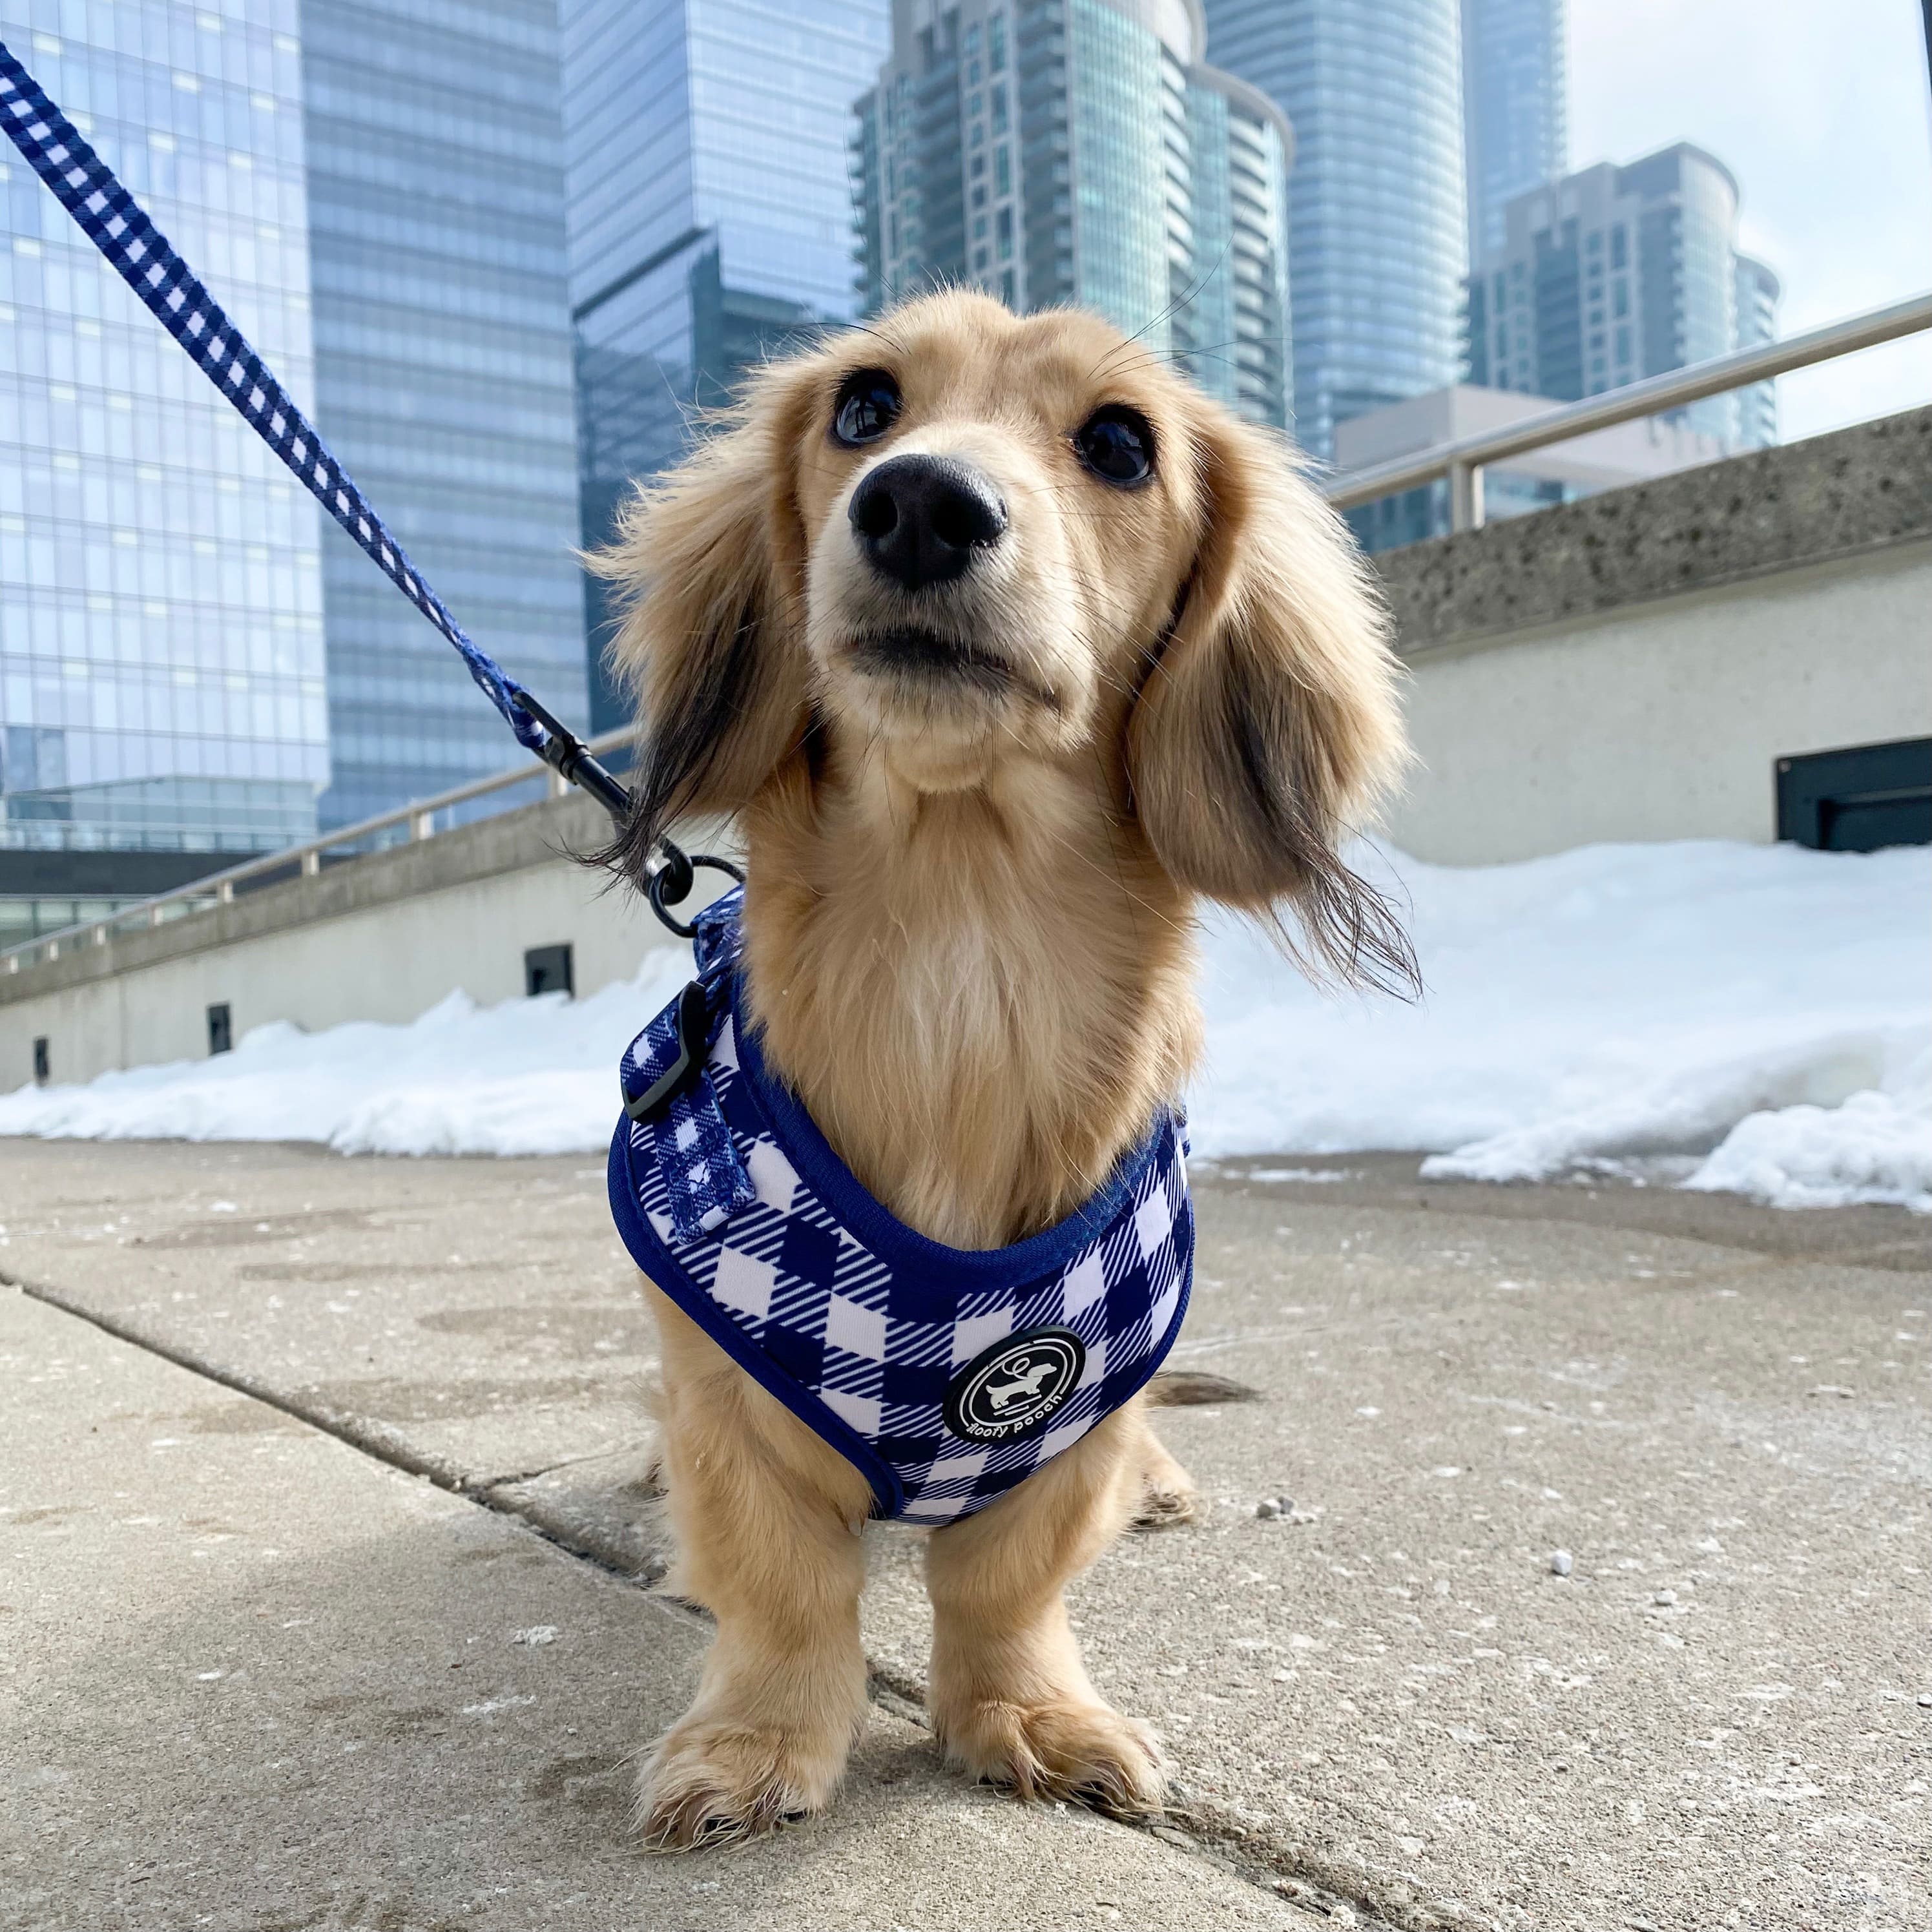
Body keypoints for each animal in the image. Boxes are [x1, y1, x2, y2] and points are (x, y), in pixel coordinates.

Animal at [595, 282, 1414, 1839]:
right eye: (863, 407)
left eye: (1120, 443)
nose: (919, 502)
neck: (963, 960)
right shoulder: (730, 1390)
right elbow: (780, 1583)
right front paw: (754, 1740)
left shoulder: (1079, 1405)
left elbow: (1009, 1580)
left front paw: (1030, 1713)